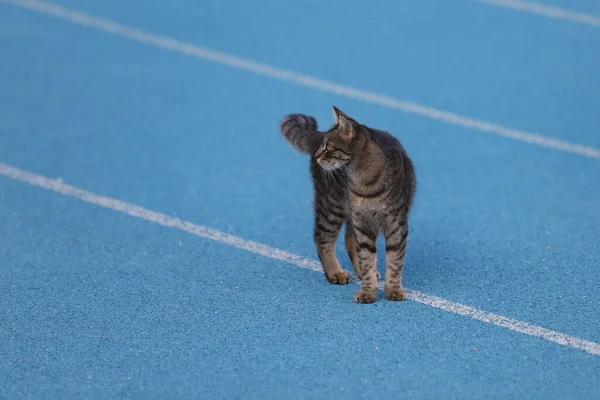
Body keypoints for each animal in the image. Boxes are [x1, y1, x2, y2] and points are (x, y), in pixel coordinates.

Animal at [278, 106, 414, 304]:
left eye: (329, 147)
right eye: (323, 146)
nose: (317, 156)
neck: (365, 181)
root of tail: (318, 134)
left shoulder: (396, 225)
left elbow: (395, 260)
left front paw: (393, 289)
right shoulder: (363, 224)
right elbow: (367, 257)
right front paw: (368, 290)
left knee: (348, 239)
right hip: (332, 207)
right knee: (322, 238)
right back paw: (335, 272)